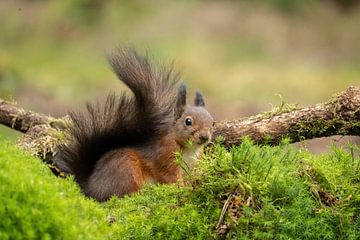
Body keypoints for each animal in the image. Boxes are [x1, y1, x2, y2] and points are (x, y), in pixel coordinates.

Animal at [54, 47, 215, 202]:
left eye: (212, 123)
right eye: (188, 122)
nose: (204, 137)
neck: (190, 149)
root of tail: (90, 186)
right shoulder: (165, 154)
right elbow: (169, 176)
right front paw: (182, 189)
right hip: (127, 168)